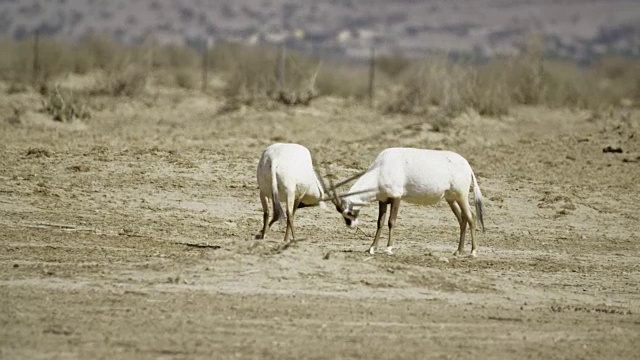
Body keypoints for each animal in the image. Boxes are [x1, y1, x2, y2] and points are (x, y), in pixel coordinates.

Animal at [330, 146, 484, 256]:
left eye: (348, 211)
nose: (351, 225)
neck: (381, 167)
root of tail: (468, 166)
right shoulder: (383, 200)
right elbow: (380, 223)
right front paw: (372, 248)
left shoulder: (396, 197)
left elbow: (391, 222)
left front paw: (388, 249)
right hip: (451, 199)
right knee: (462, 219)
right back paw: (458, 251)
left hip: (461, 196)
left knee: (471, 217)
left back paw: (473, 252)